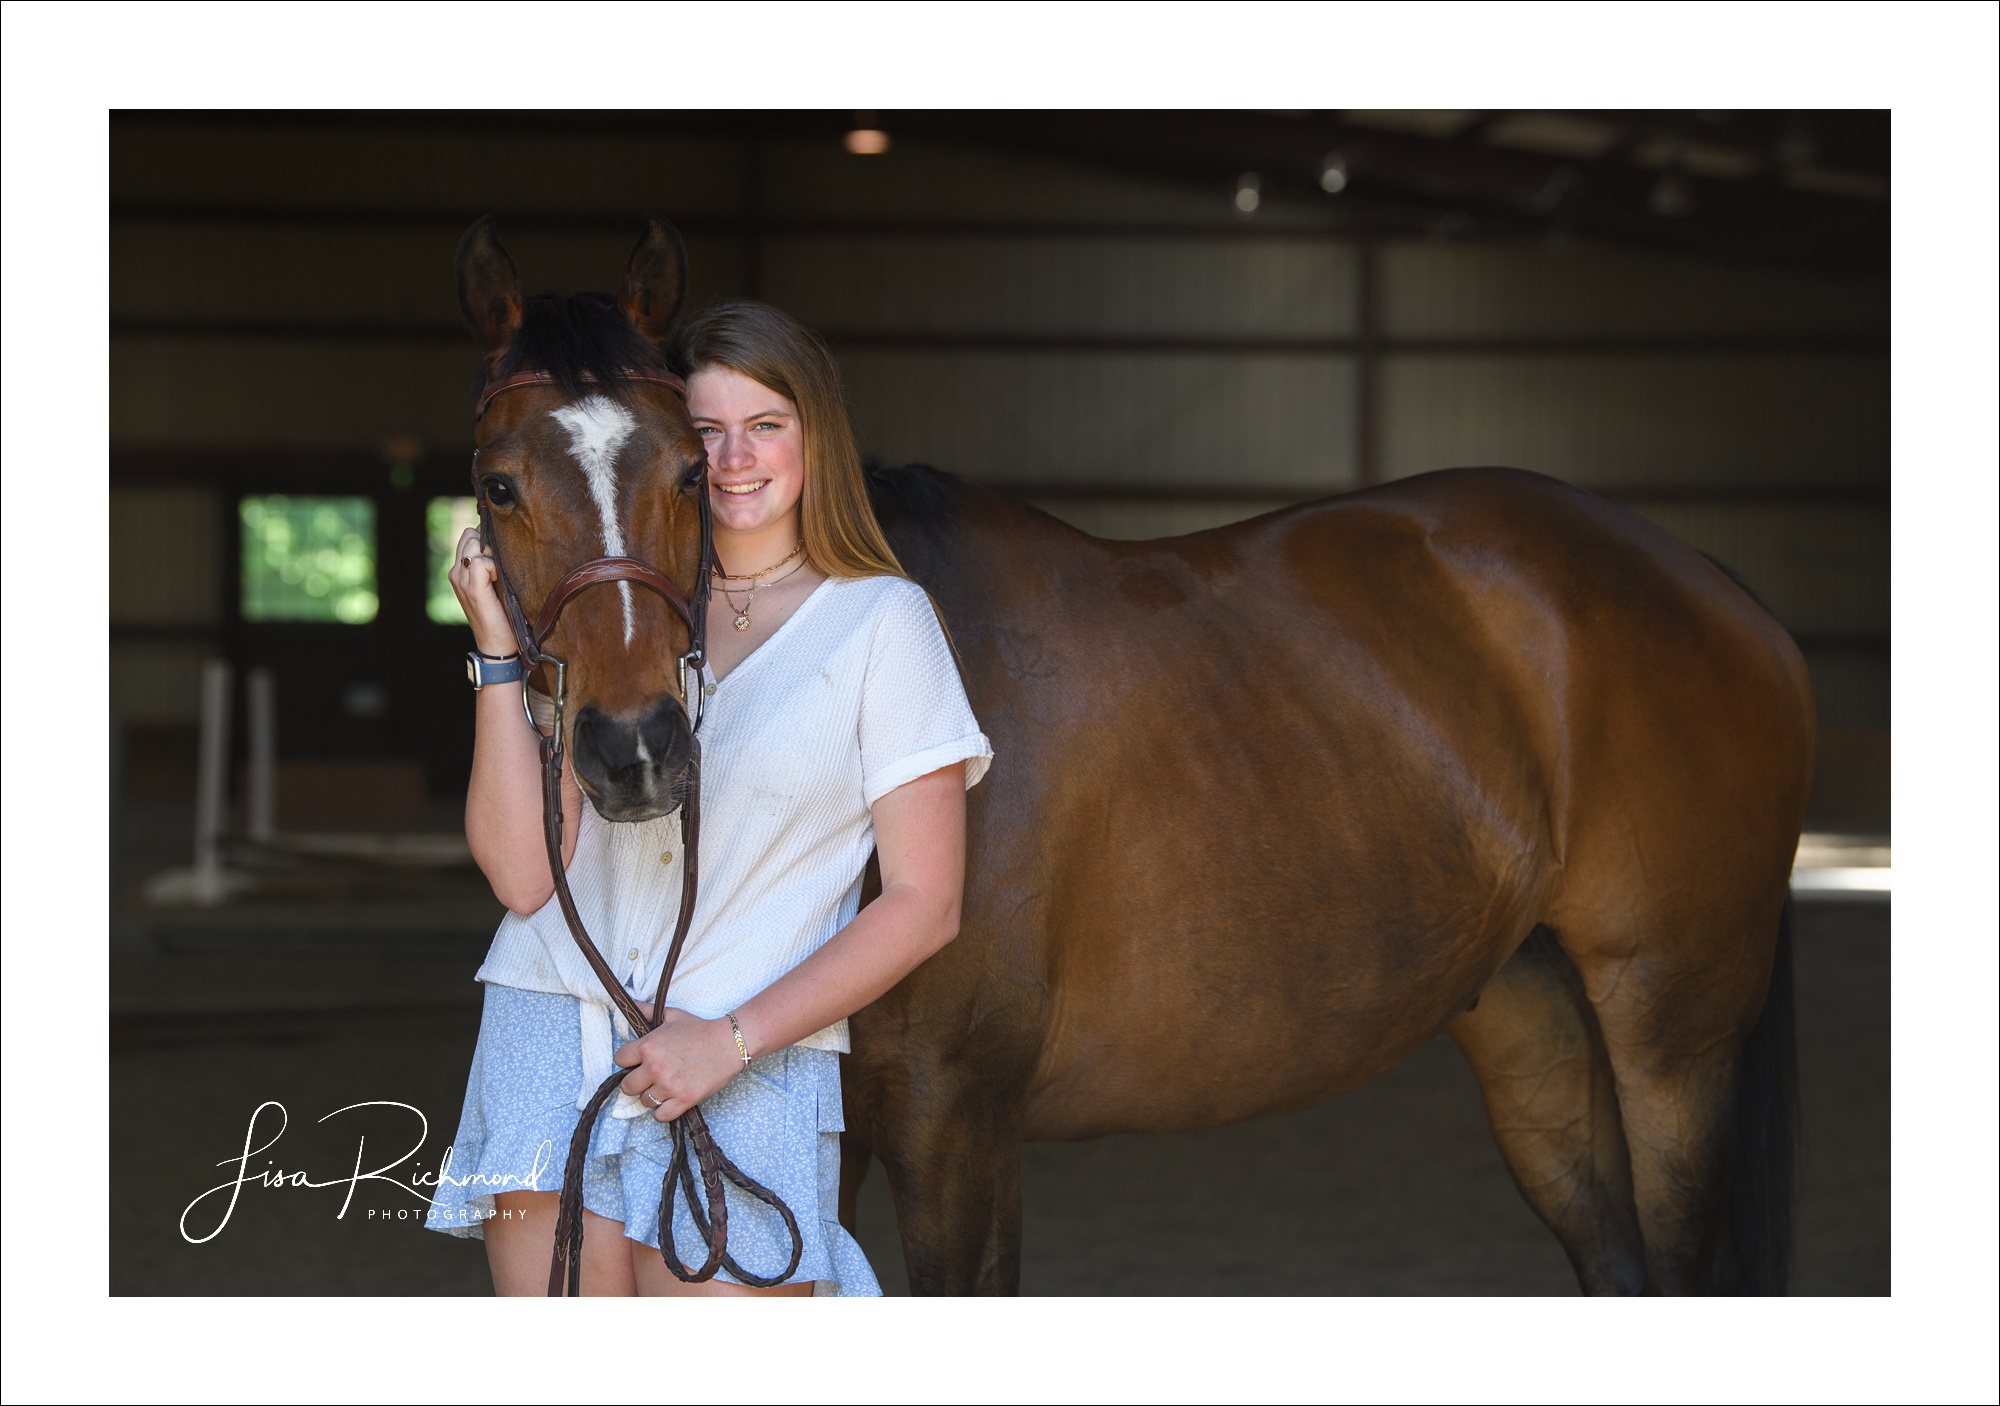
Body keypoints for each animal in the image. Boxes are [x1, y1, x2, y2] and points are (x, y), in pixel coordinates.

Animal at [454, 217, 1816, 1296]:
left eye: (695, 465)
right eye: (499, 486)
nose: (636, 751)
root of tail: (1701, 575)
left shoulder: (957, 1123)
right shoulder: (805, 1147)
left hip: (1674, 1032)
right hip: (1533, 1017)